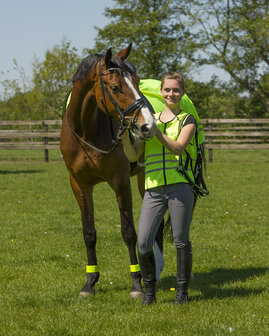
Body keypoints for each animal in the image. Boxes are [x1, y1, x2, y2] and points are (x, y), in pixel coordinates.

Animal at [60, 44, 155, 296]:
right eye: (115, 87)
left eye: (137, 81)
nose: (148, 125)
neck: (86, 132)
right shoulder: (80, 186)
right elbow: (89, 233)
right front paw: (90, 282)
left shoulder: (120, 182)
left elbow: (129, 232)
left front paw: (136, 284)